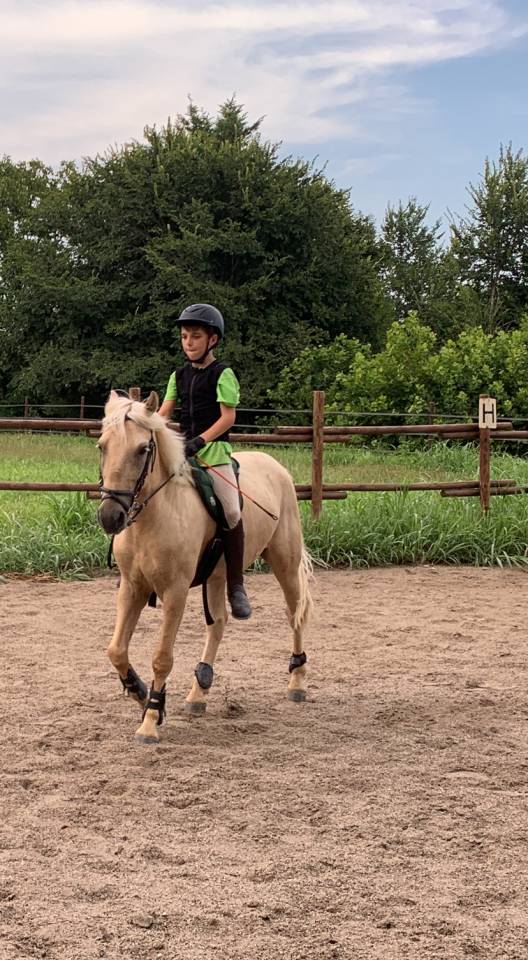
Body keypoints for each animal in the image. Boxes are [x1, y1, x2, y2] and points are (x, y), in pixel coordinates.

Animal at [97, 390, 313, 743]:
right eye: (102, 446)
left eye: (143, 449)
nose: (110, 516)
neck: (156, 515)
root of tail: (274, 465)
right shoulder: (132, 587)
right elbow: (116, 650)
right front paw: (141, 694)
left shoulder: (175, 593)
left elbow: (162, 658)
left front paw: (150, 719)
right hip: (216, 574)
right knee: (219, 624)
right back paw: (199, 692)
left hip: (284, 561)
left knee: (294, 614)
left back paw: (297, 682)